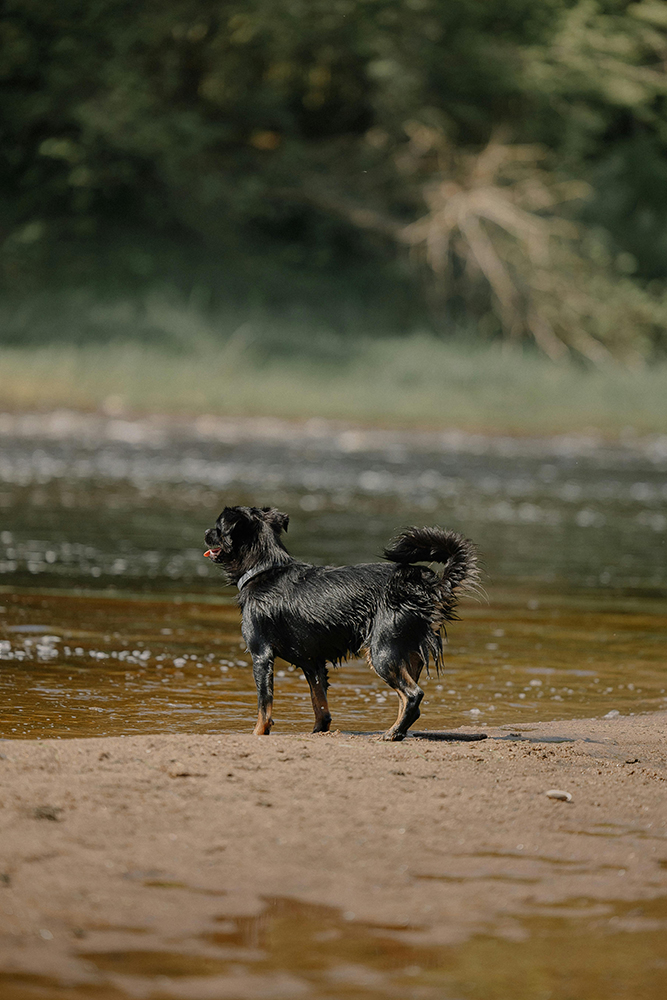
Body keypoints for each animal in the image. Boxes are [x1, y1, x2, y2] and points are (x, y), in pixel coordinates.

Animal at [205, 508, 480, 744]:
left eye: (218, 528)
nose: (206, 533)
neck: (263, 568)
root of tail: (424, 588)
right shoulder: (313, 663)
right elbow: (320, 705)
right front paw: (319, 731)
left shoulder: (261, 655)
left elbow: (264, 705)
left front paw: (258, 734)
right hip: (406, 654)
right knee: (408, 699)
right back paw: (398, 731)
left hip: (382, 653)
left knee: (413, 695)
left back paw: (392, 734)